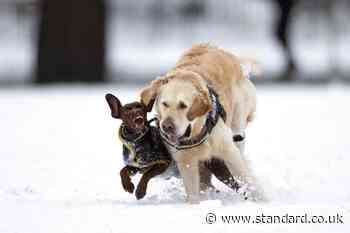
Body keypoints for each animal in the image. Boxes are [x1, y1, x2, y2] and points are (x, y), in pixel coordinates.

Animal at [105, 93, 239, 199]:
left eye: (141, 110)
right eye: (126, 113)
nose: (138, 119)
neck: (135, 143)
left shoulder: (163, 163)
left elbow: (146, 175)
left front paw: (140, 191)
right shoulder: (135, 167)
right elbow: (123, 171)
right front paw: (127, 185)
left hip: (219, 170)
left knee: (236, 184)